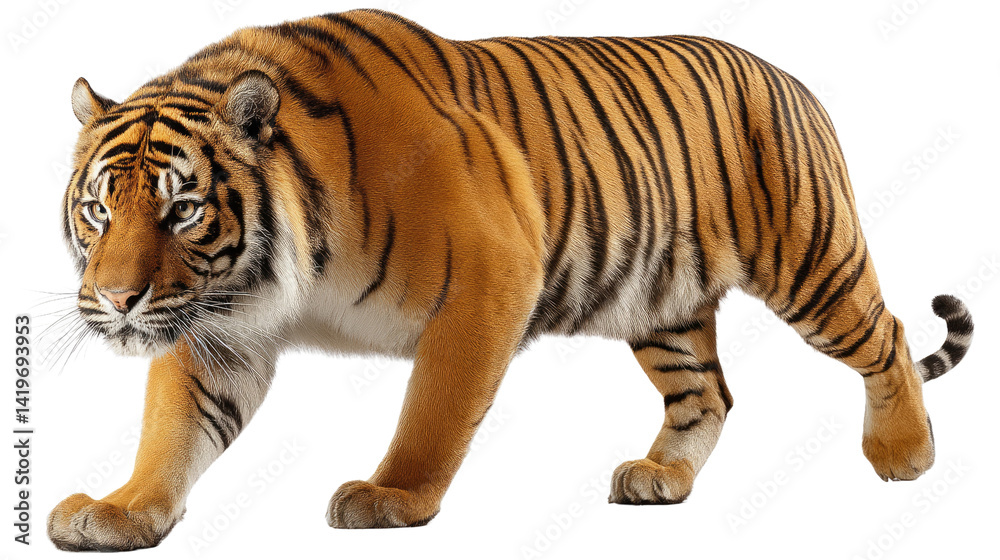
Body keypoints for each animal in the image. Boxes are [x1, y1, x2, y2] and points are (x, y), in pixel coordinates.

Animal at [48, 8, 974, 551]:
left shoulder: (487, 282)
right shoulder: (218, 330)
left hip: (810, 262)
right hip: (664, 303)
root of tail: (792, 79)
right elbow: (174, 431)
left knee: (887, 334)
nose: (118, 301)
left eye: (182, 210)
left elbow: (433, 412)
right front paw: (123, 509)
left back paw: (905, 453)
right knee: (709, 392)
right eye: (98, 210)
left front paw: (391, 496)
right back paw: (661, 479)